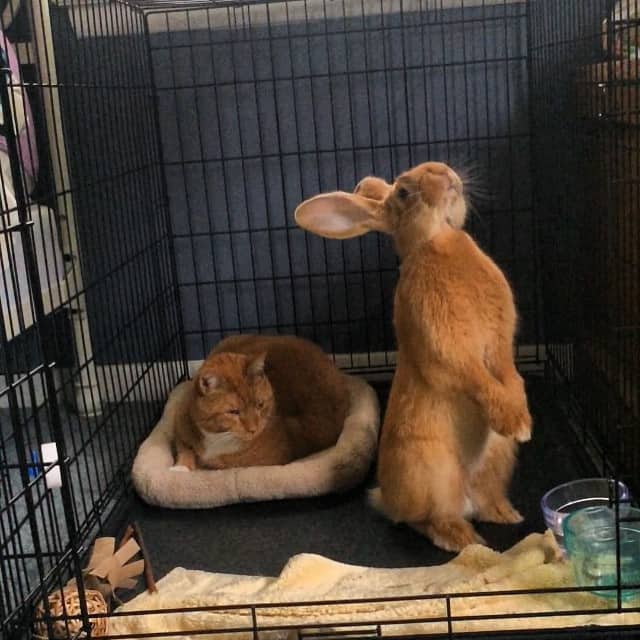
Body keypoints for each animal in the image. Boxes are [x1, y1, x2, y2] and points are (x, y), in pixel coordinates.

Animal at [172, 336, 350, 470]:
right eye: (234, 412)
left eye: (260, 405)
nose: (253, 429)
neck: (217, 437)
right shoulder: (180, 428)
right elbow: (184, 450)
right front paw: (180, 468)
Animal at [296, 162, 528, 552]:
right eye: (404, 192)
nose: (444, 171)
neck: (437, 239)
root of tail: (387, 498)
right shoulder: (446, 345)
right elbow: (473, 376)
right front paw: (516, 423)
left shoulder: (500, 340)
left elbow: (509, 372)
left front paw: (520, 415)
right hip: (431, 471)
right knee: (424, 518)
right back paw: (461, 538)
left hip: (497, 459)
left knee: (480, 499)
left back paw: (504, 513)